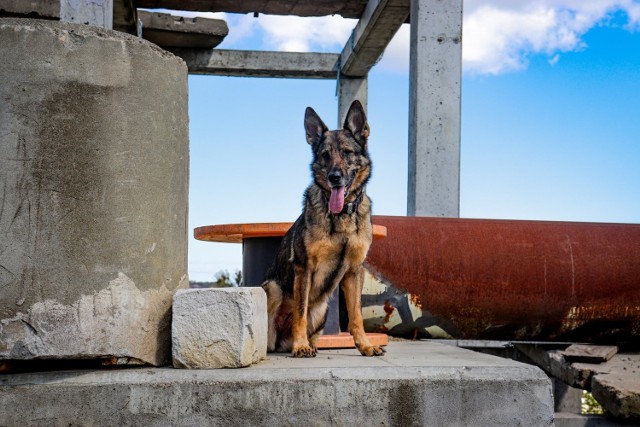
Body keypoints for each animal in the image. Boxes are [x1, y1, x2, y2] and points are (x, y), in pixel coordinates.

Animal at [262, 100, 384, 358]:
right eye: (325, 155)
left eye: (347, 152)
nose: (334, 177)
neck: (342, 215)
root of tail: (279, 342)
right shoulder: (304, 268)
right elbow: (300, 311)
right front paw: (300, 346)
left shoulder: (354, 271)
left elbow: (356, 316)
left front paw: (365, 346)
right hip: (273, 288)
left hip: (322, 310)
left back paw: (311, 344)